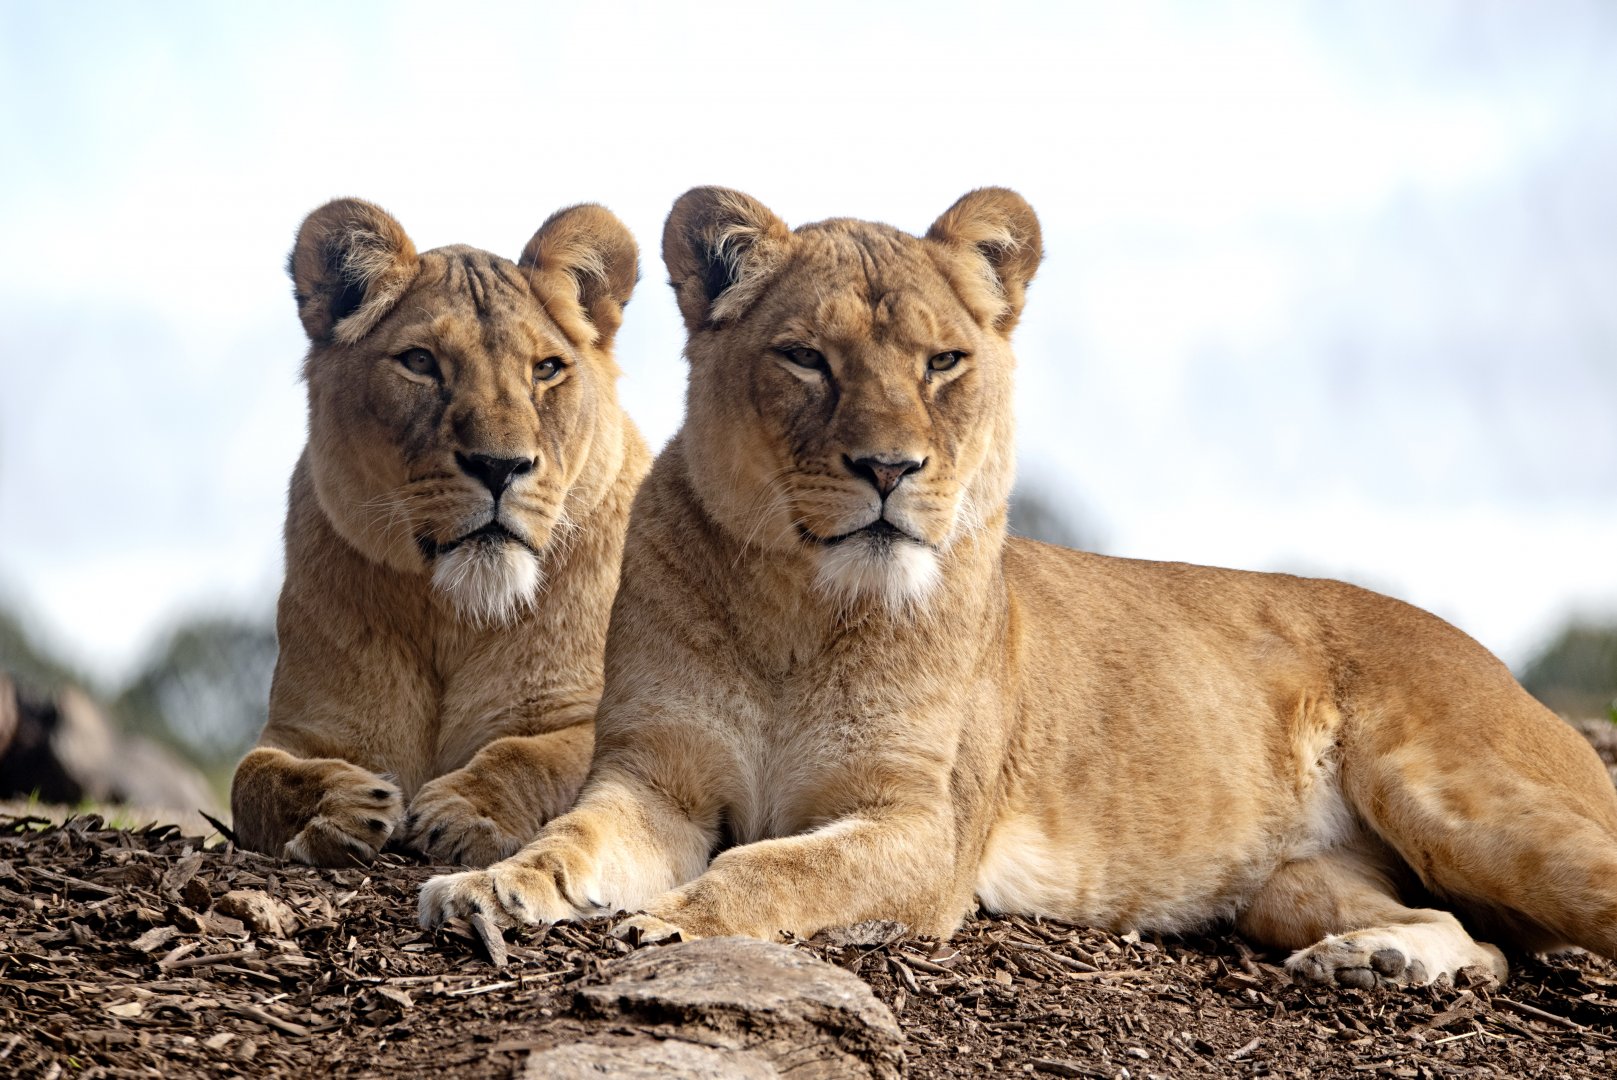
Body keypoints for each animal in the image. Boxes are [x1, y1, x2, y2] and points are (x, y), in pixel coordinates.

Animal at [231, 198, 649, 867]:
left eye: (547, 369)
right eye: (421, 362)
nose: (500, 466)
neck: (452, 617)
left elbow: (536, 753)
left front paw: (465, 811)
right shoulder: (303, 728)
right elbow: (255, 775)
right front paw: (343, 805)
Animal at [420, 187, 1617, 989]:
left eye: (943, 362)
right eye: (805, 358)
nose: (890, 469)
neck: (799, 607)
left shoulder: (923, 829)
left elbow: (772, 870)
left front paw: (674, 921)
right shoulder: (654, 781)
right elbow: (574, 838)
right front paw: (491, 886)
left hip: (1462, 801)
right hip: (1293, 885)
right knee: (1481, 944)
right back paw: (1377, 962)